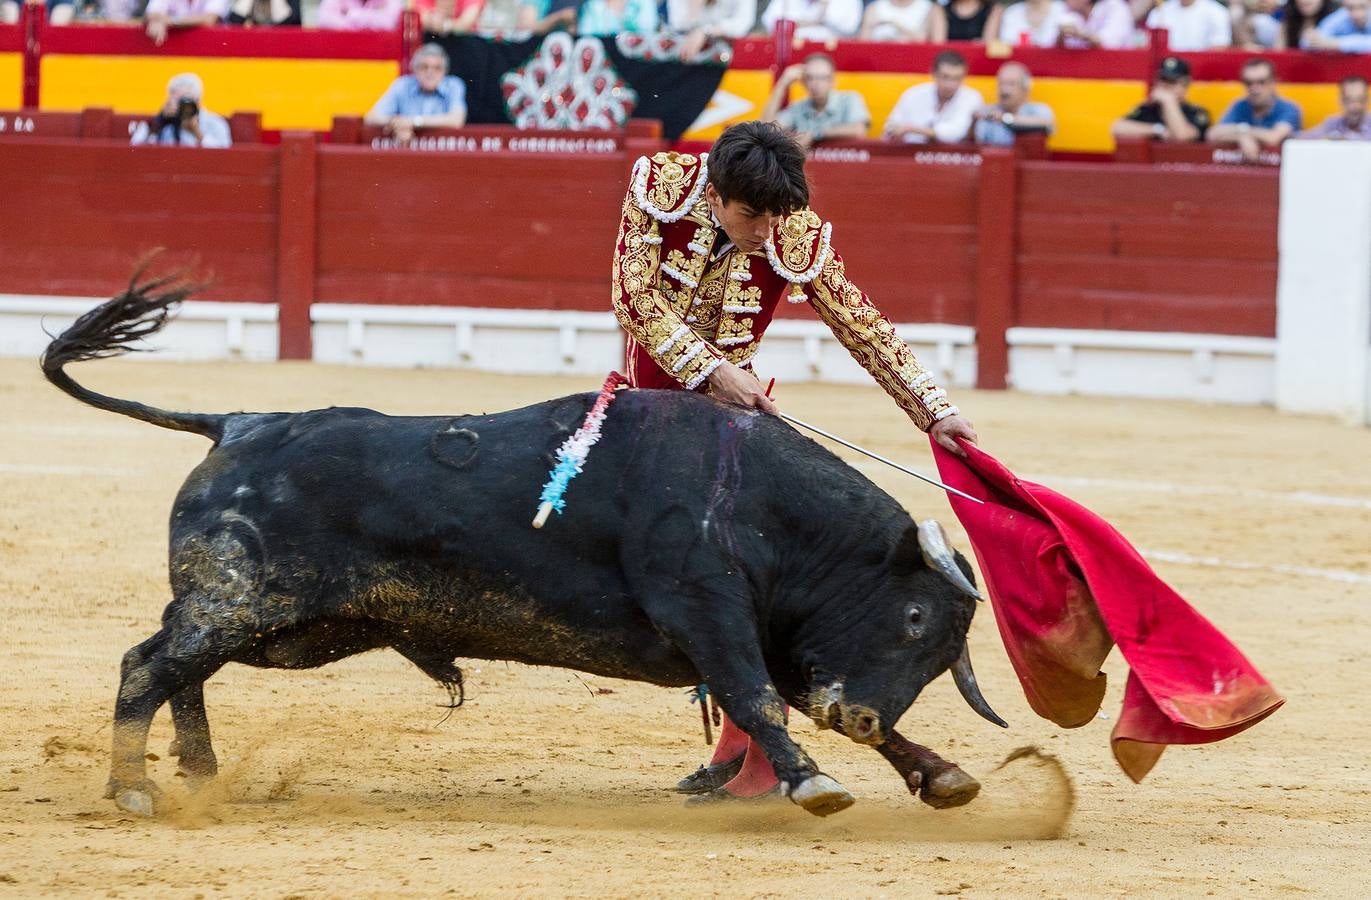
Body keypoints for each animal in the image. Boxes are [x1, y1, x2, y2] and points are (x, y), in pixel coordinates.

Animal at [42, 277, 1009, 817]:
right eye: (912, 616)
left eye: (942, 654)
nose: (864, 714)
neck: (761, 503)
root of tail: (239, 421)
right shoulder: (708, 612)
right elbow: (758, 698)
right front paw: (816, 784)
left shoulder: (783, 638)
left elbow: (799, 702)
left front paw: (939, 775)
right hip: (246, 602)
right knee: (148, 665)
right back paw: (136, 790)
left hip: (286, 628)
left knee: (180, 668)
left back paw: (202, 775)